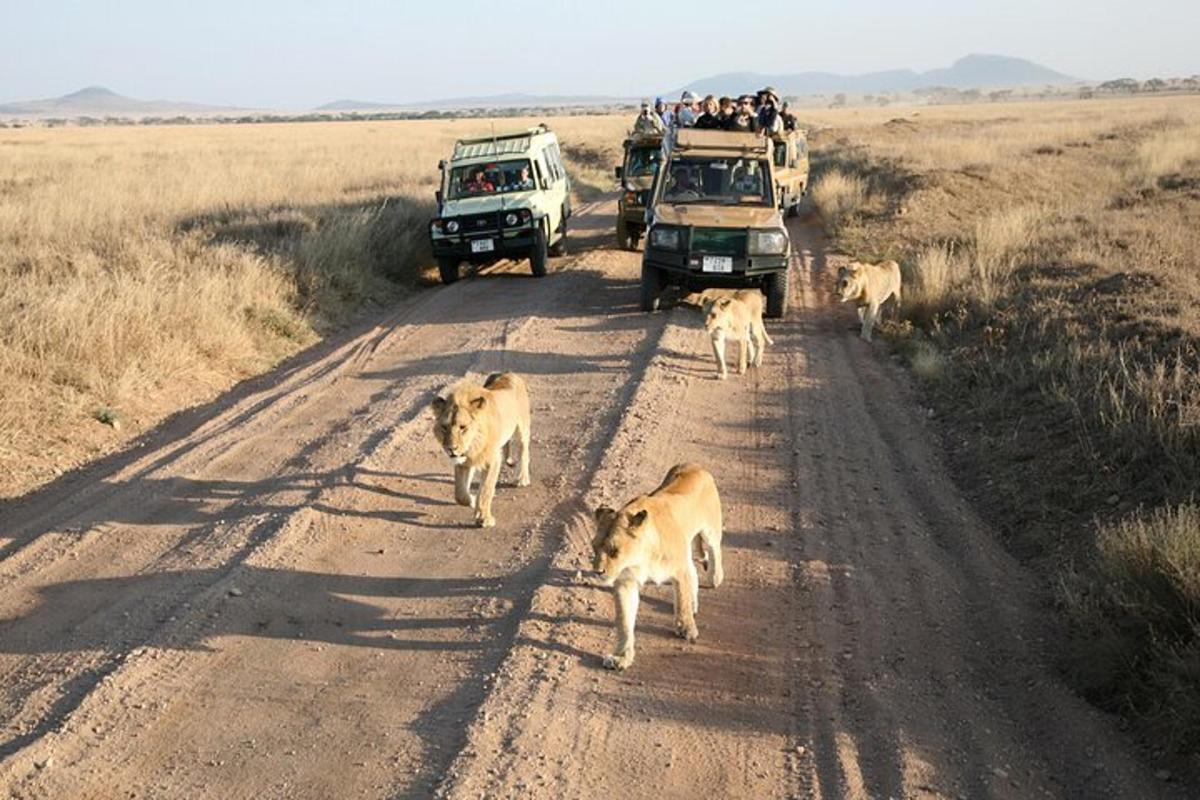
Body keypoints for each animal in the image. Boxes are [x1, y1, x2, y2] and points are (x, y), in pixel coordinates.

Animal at [429, 371, 528, 527]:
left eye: (463, 427)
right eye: (444, 427)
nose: (451, 448)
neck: (473, 445)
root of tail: (508, 372)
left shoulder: (493, 460)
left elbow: (486, 489)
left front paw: (484, 518)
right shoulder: (463, 462)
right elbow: (460, 493)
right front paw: (472, 500)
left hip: (522, 428)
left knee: (524, 452)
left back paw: (522, 479)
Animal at [590, 462, 720, 671]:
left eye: (614, 550)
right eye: (594, 547)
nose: (597, 571)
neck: (641, 556)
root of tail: (692, 464)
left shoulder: (679, 570)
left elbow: (681, 600)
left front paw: (687, 630)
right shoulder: (626, 582)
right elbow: (624, 622)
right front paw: (622, 657)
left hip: (710, 530)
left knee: (715, 550)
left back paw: (715, 578)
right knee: (694, 572)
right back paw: (694, 603)